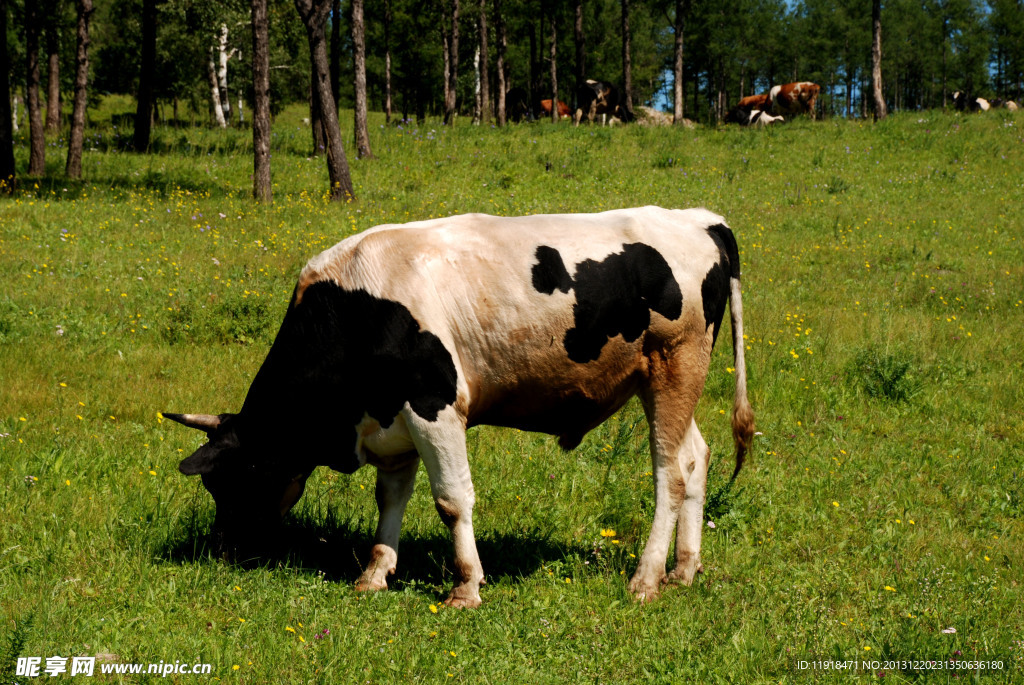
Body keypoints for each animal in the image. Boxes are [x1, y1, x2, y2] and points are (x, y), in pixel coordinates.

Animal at [165, 205, 753, 606]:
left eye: (231, 479)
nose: (222, 551)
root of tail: (699, 219)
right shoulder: (391, 422)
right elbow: (390, 499)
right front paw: (375, 574)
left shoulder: (434, 406)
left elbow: (451, 500)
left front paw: (466, 586)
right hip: (667, 382)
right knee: (696, 456)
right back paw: (684, 569)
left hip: (676, 366)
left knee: (669, 471)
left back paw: (646, 577)